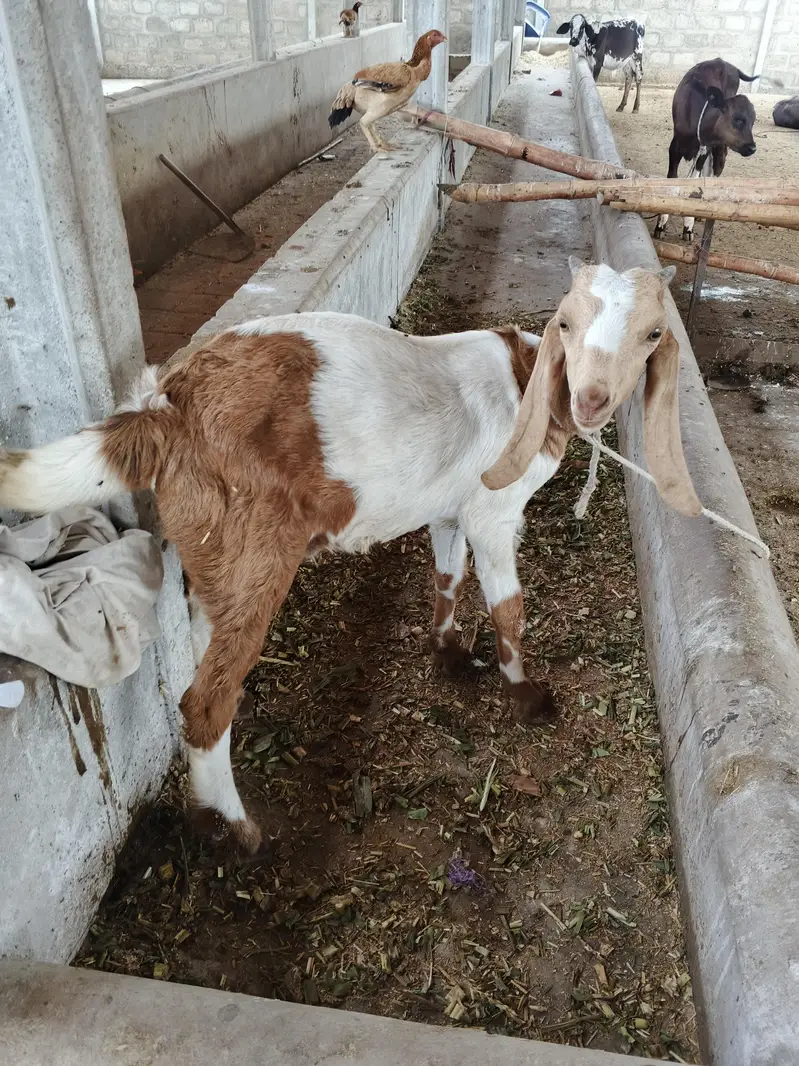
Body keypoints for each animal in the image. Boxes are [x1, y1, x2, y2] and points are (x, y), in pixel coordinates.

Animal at [0, 260, 698, 853]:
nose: (592, 398)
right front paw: (526, 695)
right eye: (567, 324)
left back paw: (214, 787)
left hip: (211, 554)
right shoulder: (495, 513)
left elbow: (448, 575)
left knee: (205, 654)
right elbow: (509, 606)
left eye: (651, 335)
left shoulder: (448, 506)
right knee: (204, 703)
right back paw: (236, 831)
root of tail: (166, 408)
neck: (526, 383)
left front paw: (448, 651)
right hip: (255, 551)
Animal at [654, 58, 758, 242]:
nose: (752, 147)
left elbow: (693, 182)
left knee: (716, 167)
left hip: (719, 147)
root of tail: (724, 62)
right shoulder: (675, 146)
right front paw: (661, 224)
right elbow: (672, 179)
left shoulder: (704, 150)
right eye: (737, 119)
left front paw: (688, 225)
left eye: (753, 121)